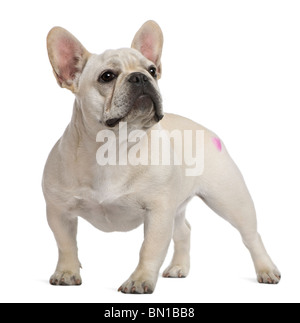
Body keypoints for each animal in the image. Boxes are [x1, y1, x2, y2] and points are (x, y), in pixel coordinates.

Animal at [42, 19, 282, 294]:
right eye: (107, 76)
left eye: (152, 70)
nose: (140, 77)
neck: (113, 149)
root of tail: (205, 130)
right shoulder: (59, 212)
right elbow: (66, 245)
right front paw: (67, 272)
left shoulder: (157, 212)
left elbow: (150, 248)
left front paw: (139, 280)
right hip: (179, 206)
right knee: (184, 231)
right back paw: (179, 267)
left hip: (230, 199)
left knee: (251, 236)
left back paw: (266, 269)